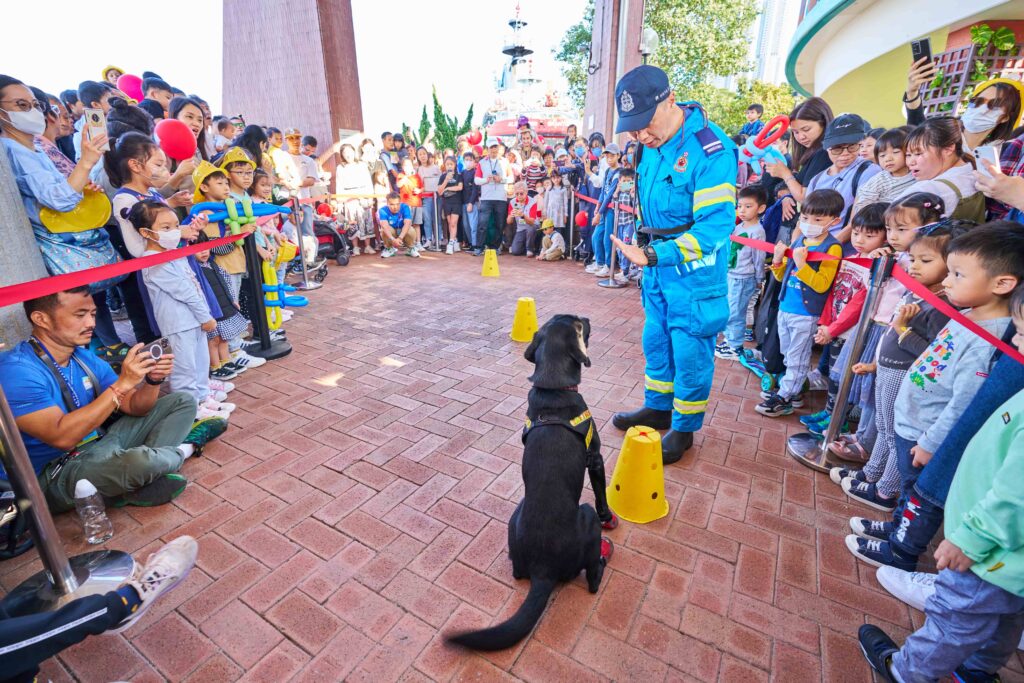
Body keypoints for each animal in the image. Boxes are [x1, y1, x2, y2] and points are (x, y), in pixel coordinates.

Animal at [444, 315, 610, 651]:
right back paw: (601, 563)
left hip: (516, 515)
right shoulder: (596, 457)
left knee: (517, 573)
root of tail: (543, 570)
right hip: (585, 516)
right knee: (591, 579)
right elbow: (602, 495)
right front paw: (610, 516)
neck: (553, 388)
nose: (587, 318)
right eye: (578, 323)